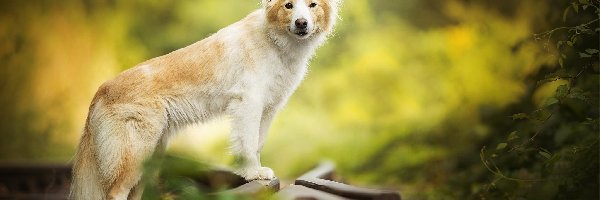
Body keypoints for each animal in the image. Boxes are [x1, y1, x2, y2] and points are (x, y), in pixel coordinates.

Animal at [69, 0, 338, 199]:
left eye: (312, 4)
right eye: (288, 5)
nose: (301, 23)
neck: (274, 40)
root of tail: (101, 90)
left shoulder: (268, 109)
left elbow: (258, 143)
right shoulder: (248, 104)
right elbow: (248, 144)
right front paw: (253, 173)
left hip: (151, 158)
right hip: (135, 155)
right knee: (115, 192)